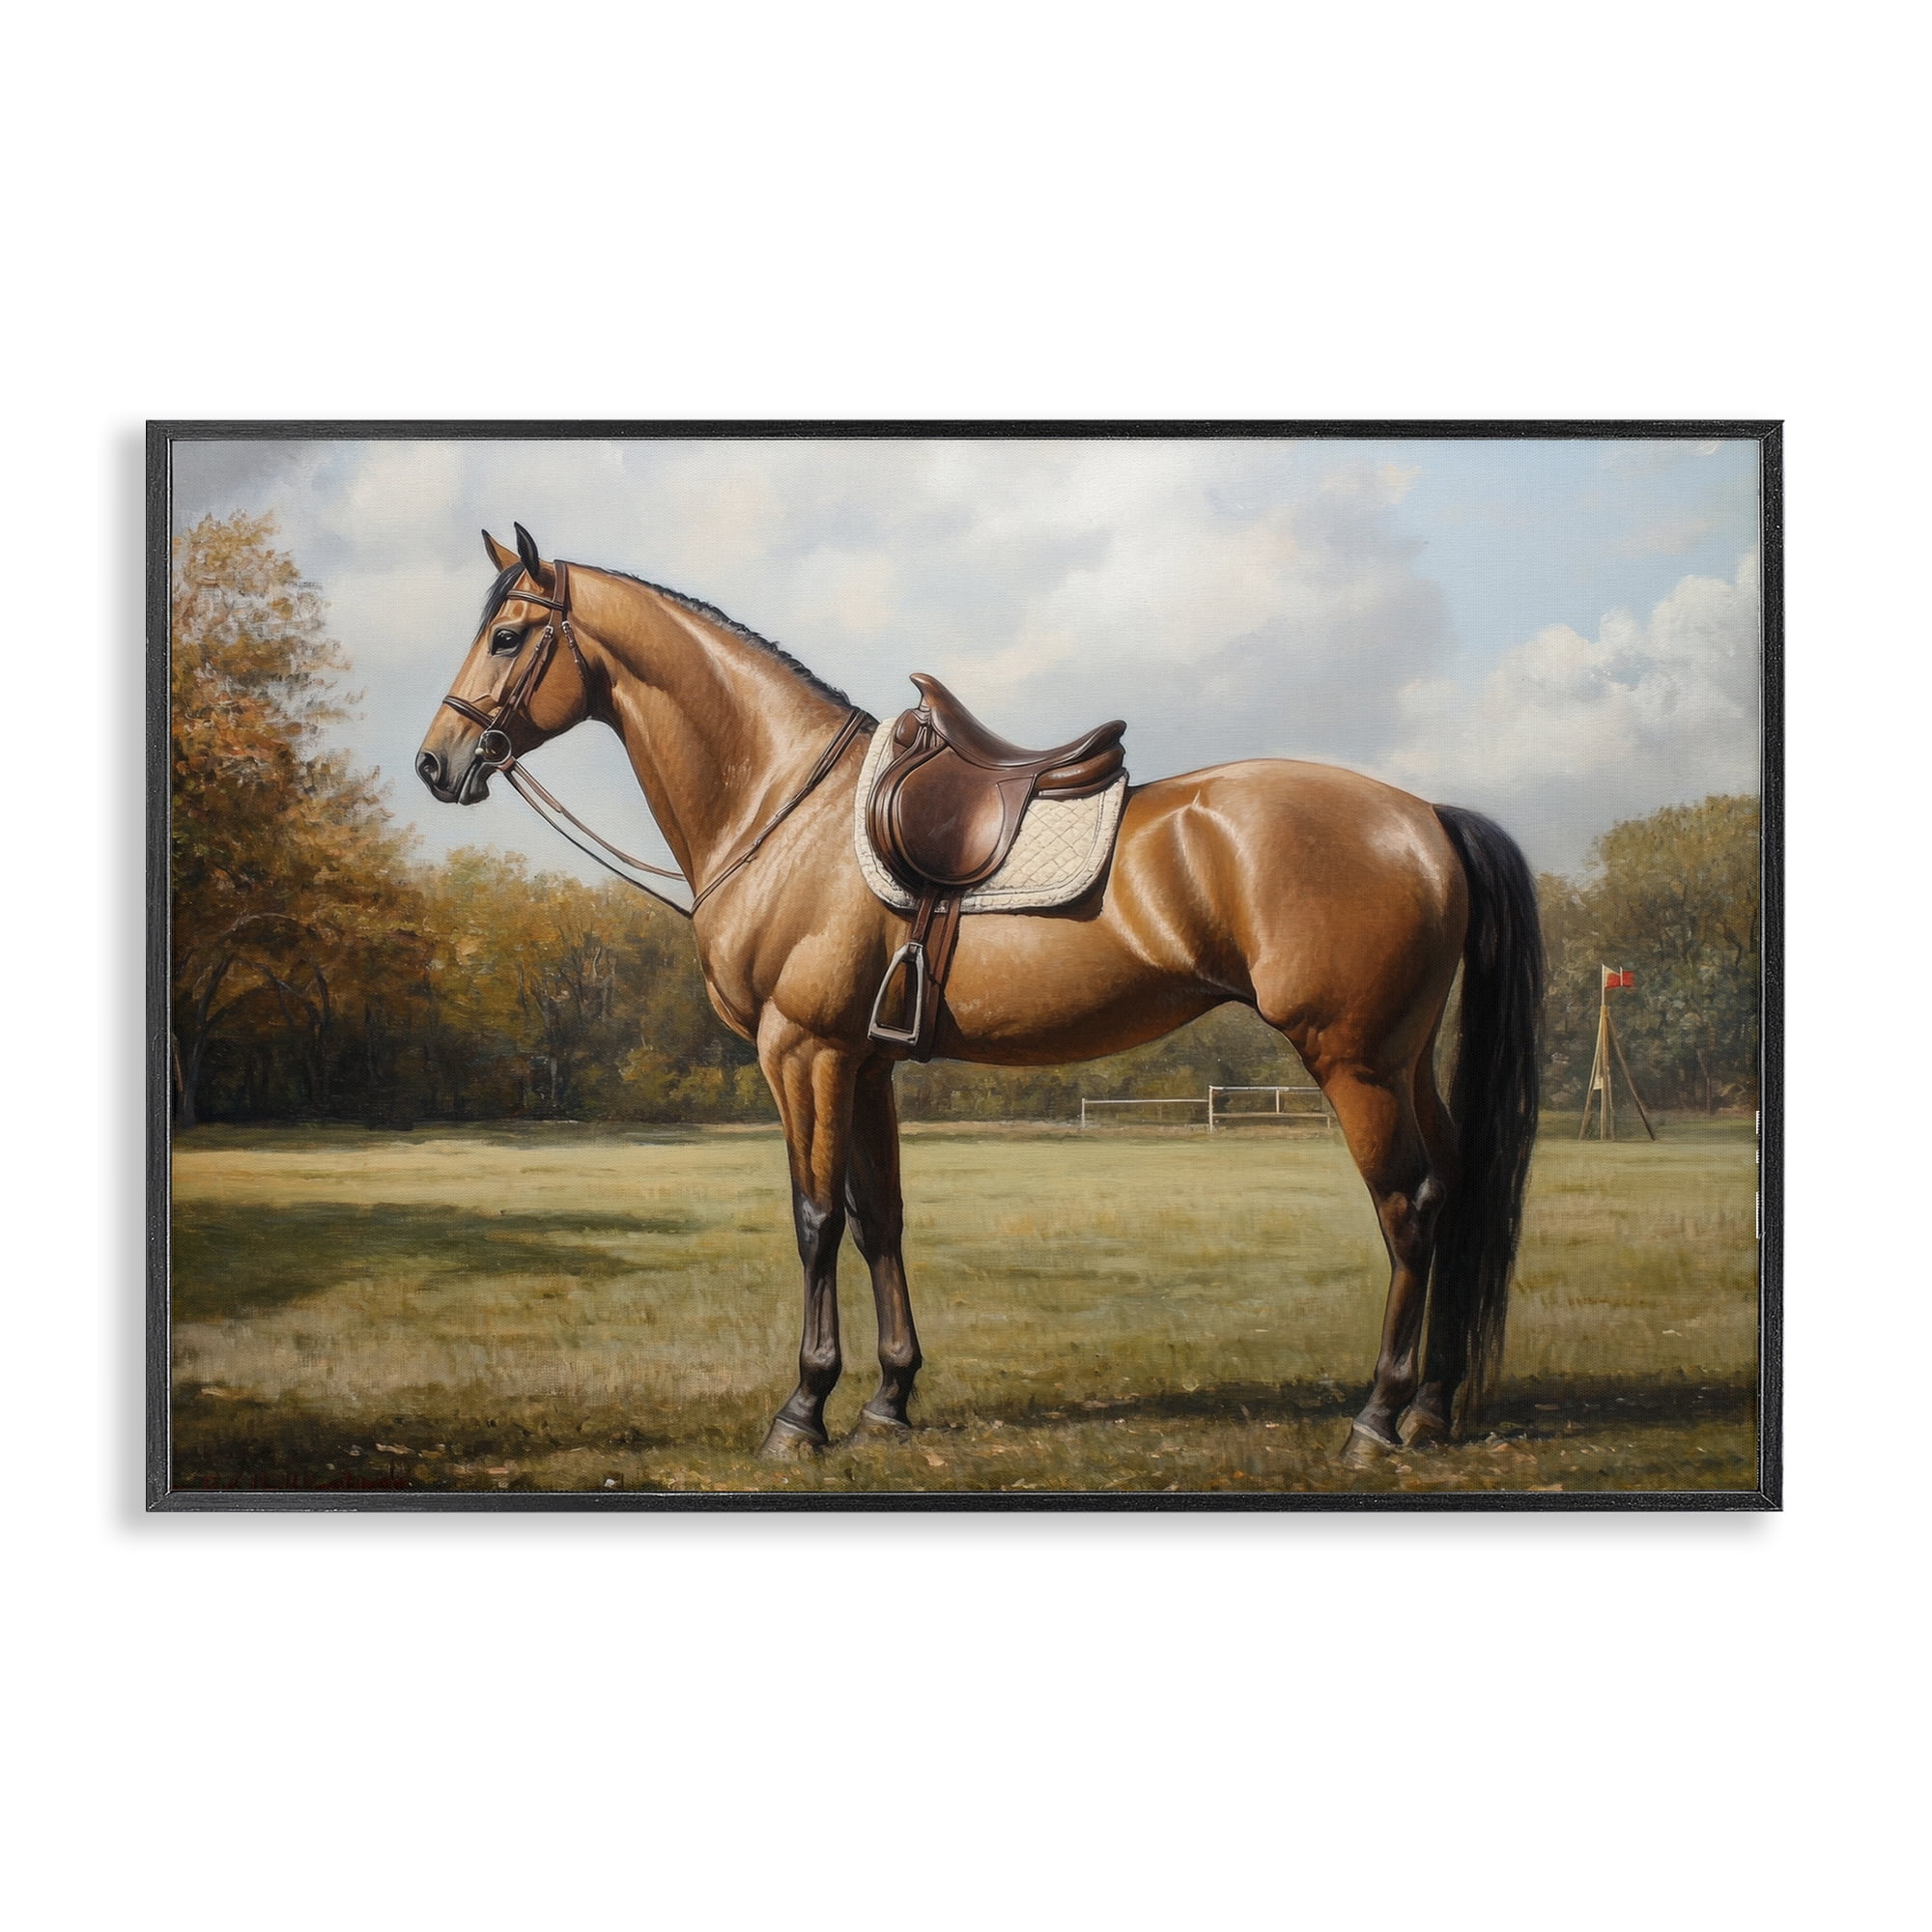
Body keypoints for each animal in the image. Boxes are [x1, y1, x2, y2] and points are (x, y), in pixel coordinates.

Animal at [416, 526, 1543, 1467]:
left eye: (508, 636)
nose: (437, 761)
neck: (786, 809)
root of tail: (1424, 817)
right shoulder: (864, 1063)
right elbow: (879, 1219)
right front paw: (888, 1400)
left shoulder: (802, 1051)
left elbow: (814, 1219)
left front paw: (801, 1412)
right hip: (1403, 1060)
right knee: (1454, 1188)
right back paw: (1430, 1407)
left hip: (1352, 1062)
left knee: (1406, 1207)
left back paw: (1374, 1419)